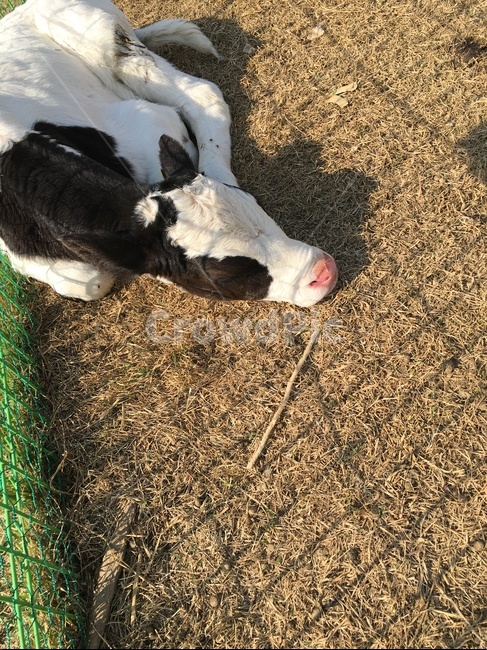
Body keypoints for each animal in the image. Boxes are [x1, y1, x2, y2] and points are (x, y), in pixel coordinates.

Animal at [0, 0, 337, 307]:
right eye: (223, 274)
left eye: (255, 204)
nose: (323, 269)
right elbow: (87, 282)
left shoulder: (148, 121)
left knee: (203, 92)